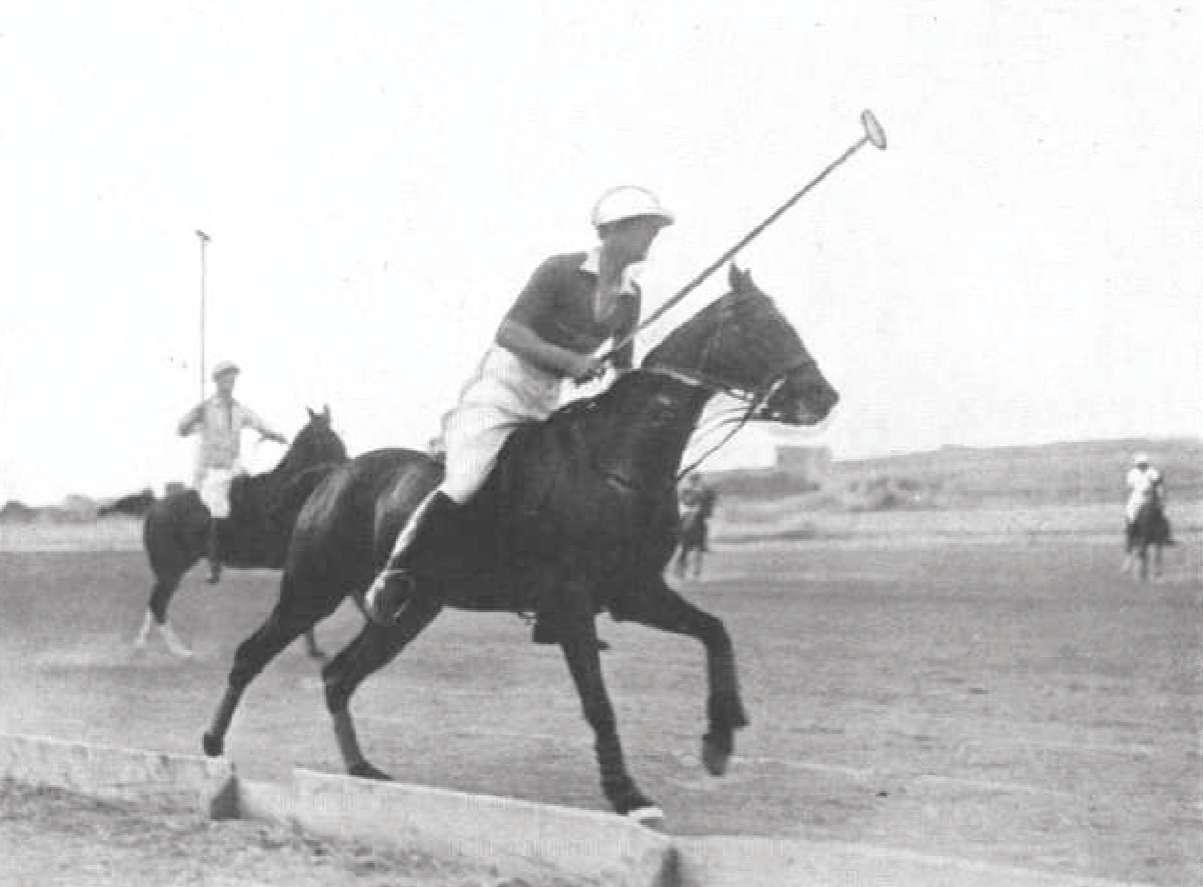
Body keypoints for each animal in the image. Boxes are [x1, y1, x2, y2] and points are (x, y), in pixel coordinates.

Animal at [134, 406, 348, 658]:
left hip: (169, 571)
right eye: (328, 438)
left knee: (154, 604)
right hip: (171, 570)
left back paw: (144, 642)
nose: (348, 465)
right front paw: (312, 649)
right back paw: (178, 650)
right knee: (158, 604)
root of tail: (154, 508)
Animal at [201, 266, 839, 823]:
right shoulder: (573, 601)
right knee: (253, 655)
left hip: (410, 610)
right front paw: (629, 795)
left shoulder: (634, 593)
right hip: (313, 586)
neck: (617, 462)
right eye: (758, 325)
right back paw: (211, 750)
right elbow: (598, 703)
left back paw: (361, 769)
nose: (823, 396)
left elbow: (715, 633)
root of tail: (335, 473)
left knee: (340, 674)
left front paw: (720, 740)